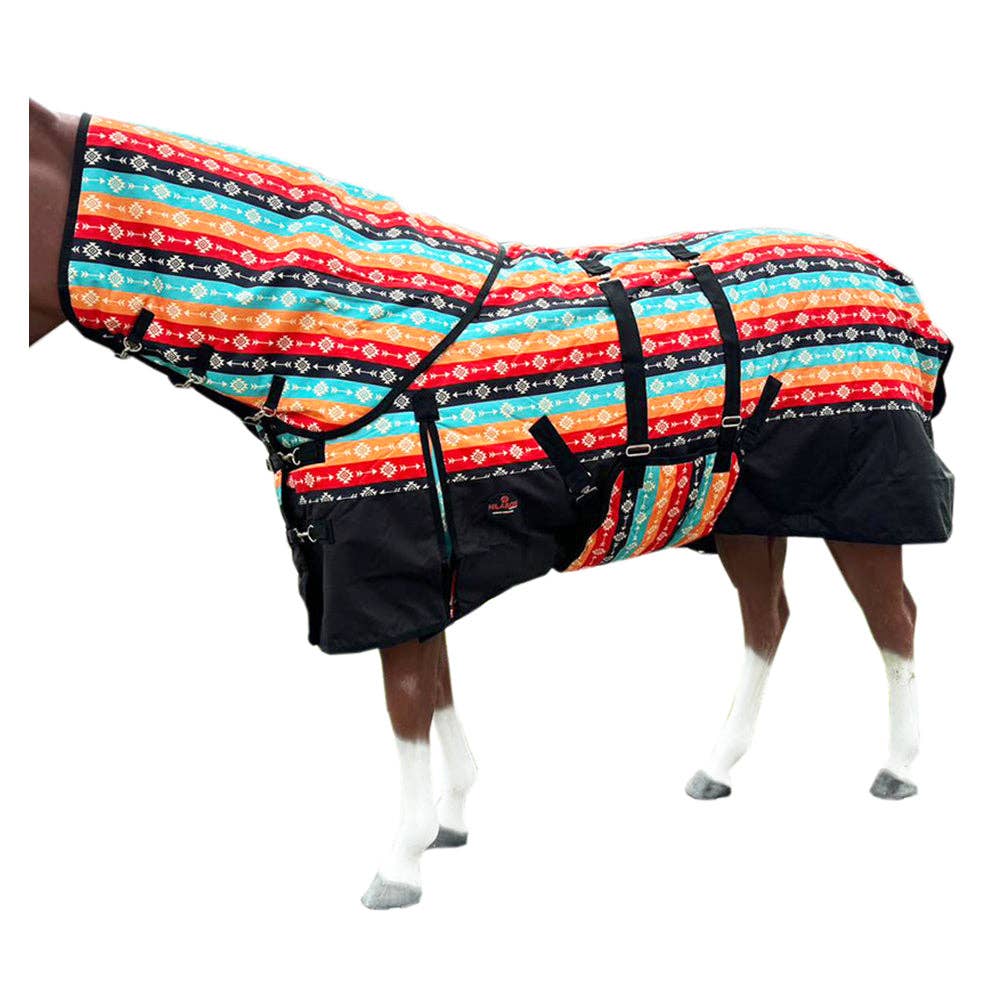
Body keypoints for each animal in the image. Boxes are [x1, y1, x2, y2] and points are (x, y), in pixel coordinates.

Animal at [28, 100, 953, 909]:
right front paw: (450, 821)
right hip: (741, 511)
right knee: (769, 617)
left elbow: (407, 705)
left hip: (868, 503)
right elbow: (436, 688)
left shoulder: (389, 575)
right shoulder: (422, 572)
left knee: (894, 620)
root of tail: (902, 288)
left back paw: (898, 770)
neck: (361, 344)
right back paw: (718, 766)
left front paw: (398, 866)